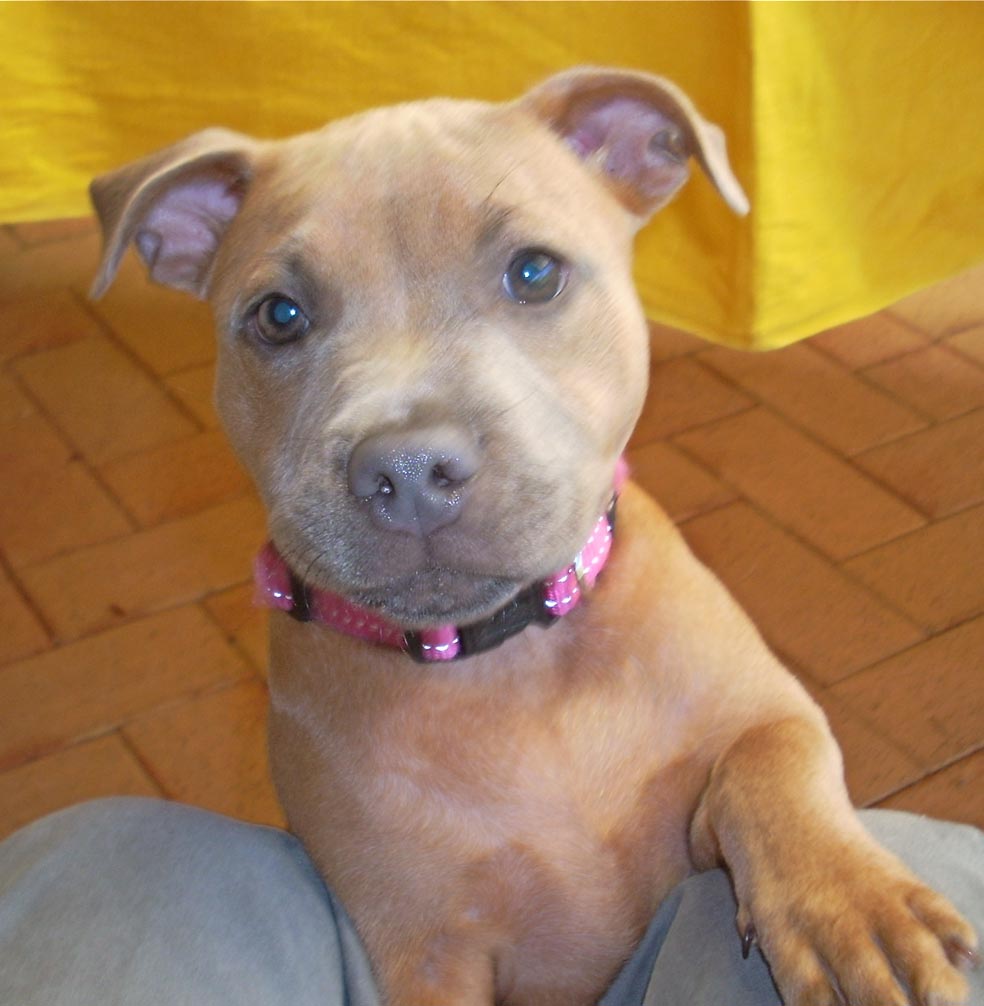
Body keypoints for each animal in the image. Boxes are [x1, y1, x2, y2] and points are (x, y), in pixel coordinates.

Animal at [90, 70, 973, 1006]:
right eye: (280, 316)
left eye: (535, 271)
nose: (407, 470)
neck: (516, 667)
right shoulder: (423, 950)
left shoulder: (751, 730)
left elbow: (775, 759)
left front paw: (853, 908)